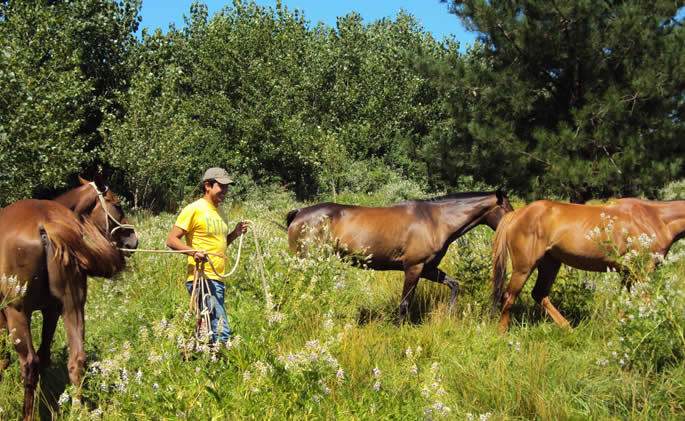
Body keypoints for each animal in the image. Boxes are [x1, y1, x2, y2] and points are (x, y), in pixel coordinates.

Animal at [0, 174, 138, 420]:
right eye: (117, 204)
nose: (133, 240)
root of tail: (46, 224)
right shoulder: (51, 310)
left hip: (18, 311)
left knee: (29, 364)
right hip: (73, 306)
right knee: (76, 359)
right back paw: (75, 408)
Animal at [284, 188, 512, 322]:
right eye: (507, 209)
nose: (514, 225)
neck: (435, 220)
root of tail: (299, 213)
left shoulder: (428, 269)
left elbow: (454, 285)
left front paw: (448, 314)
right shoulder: (414, 268)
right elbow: (404, 303)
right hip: (306, 261)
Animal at [492, 199, 685, 334]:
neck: (654, 218)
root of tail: (515, 215)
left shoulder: (627, 274)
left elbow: (625, 303)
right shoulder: (643, 271)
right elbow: (646, 301)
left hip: (550, 263)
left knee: (539, 294)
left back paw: (568, 328)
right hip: (524, 267)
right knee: (509, 296)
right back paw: (502, 333)